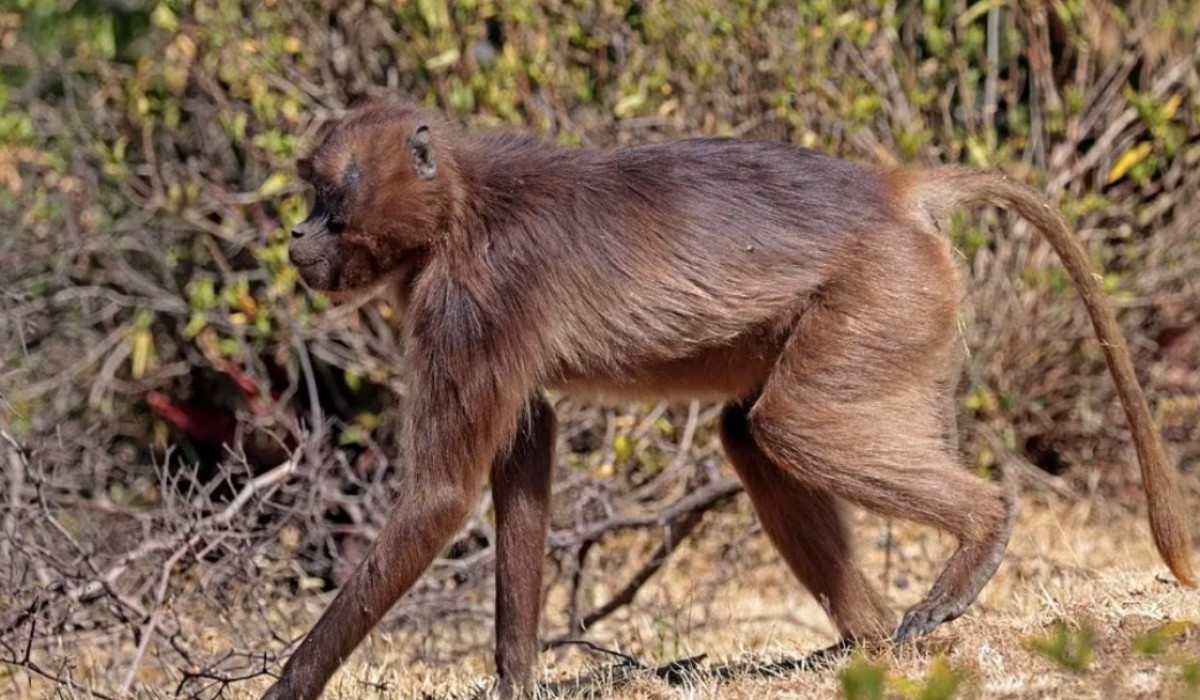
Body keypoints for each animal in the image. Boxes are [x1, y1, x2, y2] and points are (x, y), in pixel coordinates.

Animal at [265, 98, 1200, 700]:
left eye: (329, 195)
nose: (296, 235)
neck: (459, 203)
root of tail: (893, 189)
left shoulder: (470, 302)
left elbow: (440, 495)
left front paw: (288, 684)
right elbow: (523, 460)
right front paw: (516, 676)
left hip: (884, 294)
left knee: (793, 426)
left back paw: (980, 532)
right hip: (905, 308)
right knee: (752, 433)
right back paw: (868, 644)